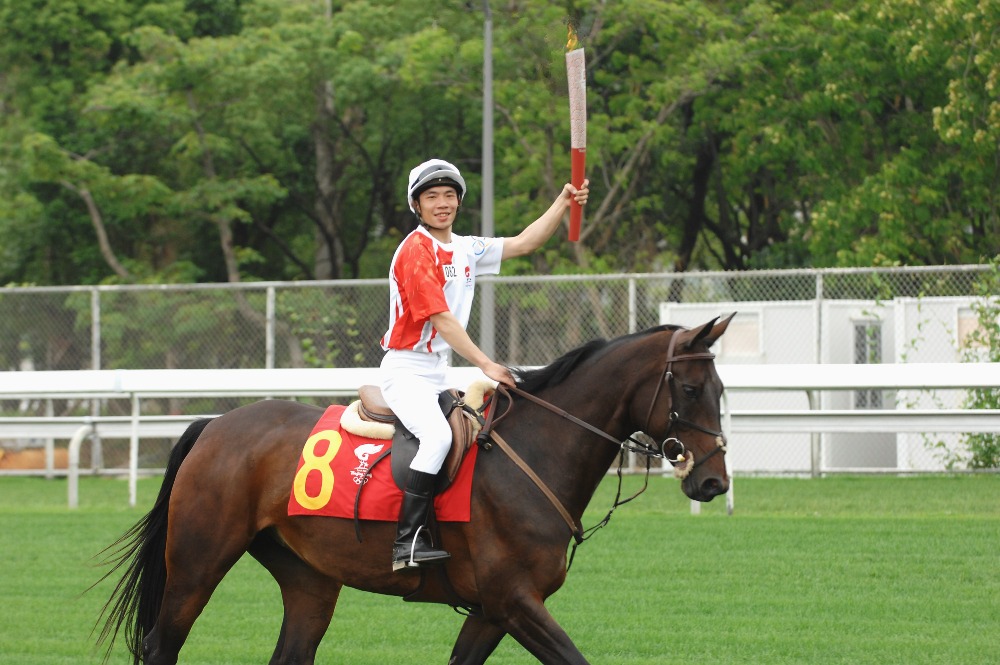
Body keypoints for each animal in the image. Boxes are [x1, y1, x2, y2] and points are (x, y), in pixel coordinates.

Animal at [97, 314, 732, 660]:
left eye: (721, 389)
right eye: (691, 389)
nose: (713, 480)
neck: (533, 453)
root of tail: (215, 424)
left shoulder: (492, 612)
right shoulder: (515, 602)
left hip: (309, 581)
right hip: (197, 564)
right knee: (161, 645)